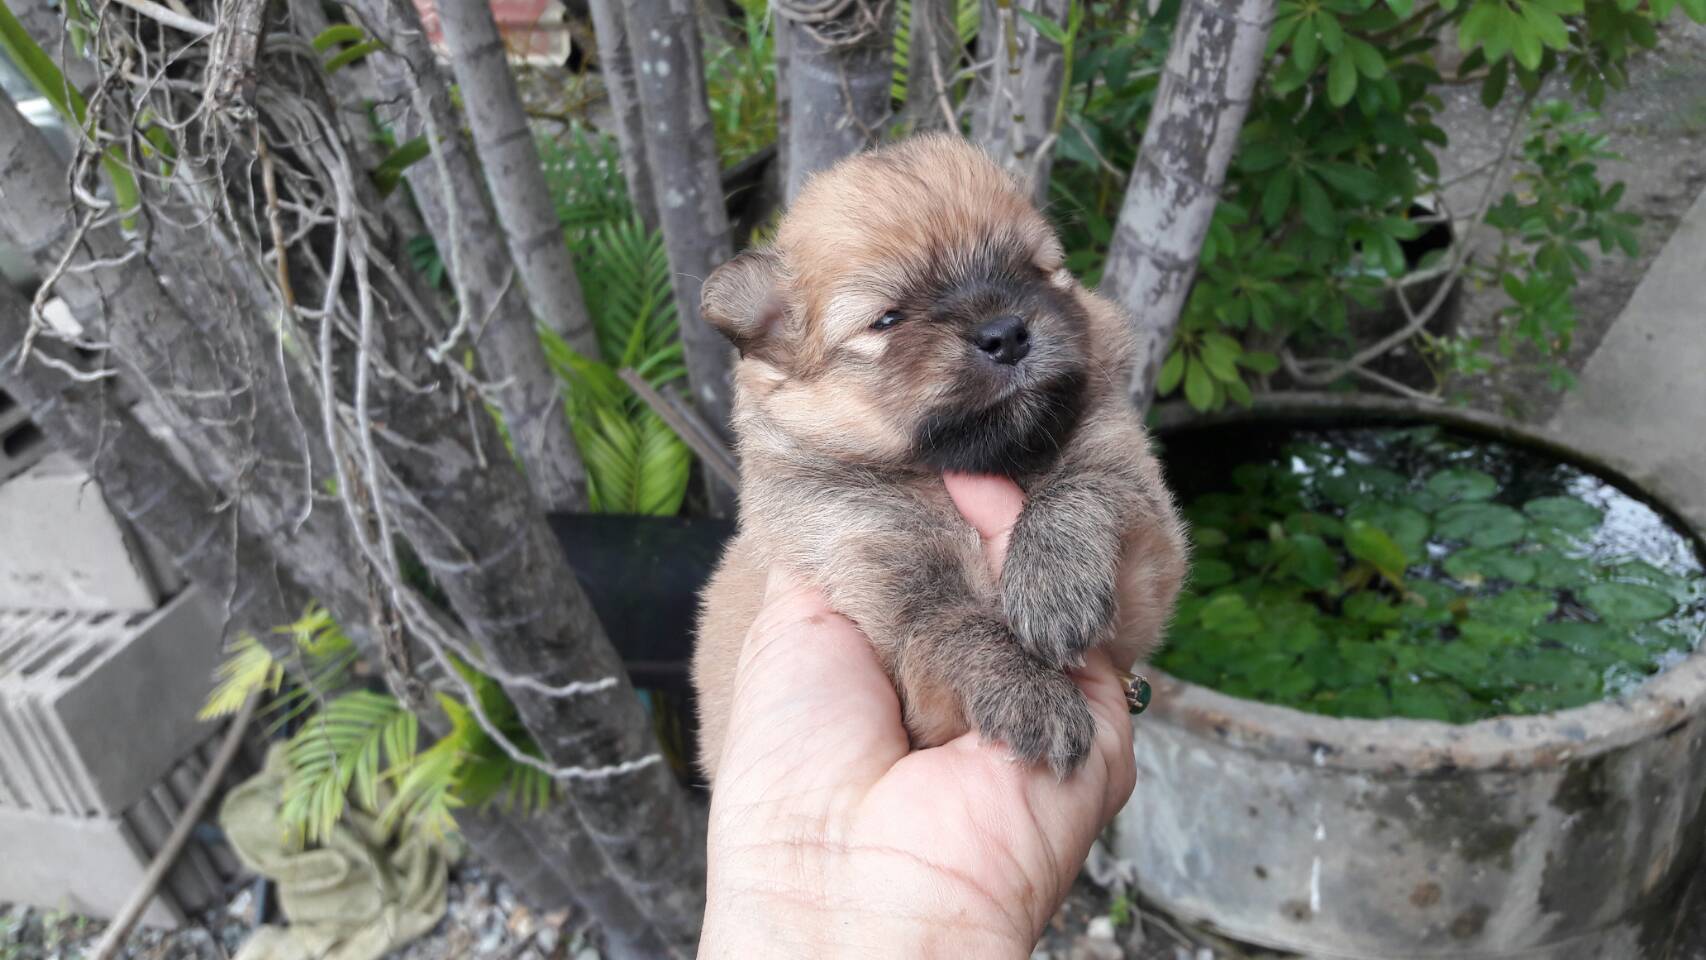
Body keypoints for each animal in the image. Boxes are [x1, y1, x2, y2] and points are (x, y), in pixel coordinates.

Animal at [691, 133, 1187, 782]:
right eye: (888, 319)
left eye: (1030, 271)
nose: (1006, 334)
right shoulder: (873, 555)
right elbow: (952, 625)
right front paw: (1030, 694)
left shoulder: (1145, 552)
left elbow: (1087, 482)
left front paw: (1052, 583)